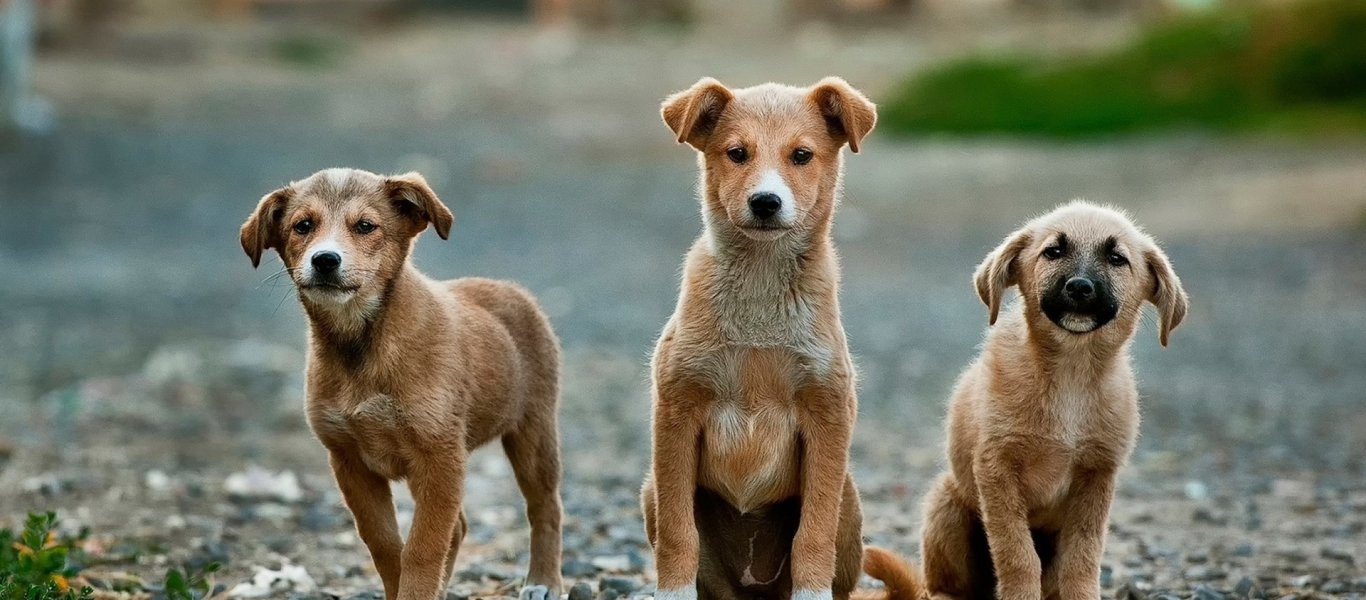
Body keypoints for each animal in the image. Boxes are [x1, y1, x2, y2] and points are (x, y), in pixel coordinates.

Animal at [239, 169, 560, 600]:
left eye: (365, 226)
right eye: (302, 226)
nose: (325, 260)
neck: (362, 346)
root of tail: (511, 288)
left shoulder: (440, 456)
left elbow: (423, 548)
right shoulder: (350, 461)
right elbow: (386, 544)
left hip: (533, 432)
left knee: (545, 508)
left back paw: (544, 581)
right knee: (459, 527)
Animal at [642, 77, 917, 600]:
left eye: (802, 155)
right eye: (737, 153)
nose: (765, 202)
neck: (760, 289)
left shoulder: (827, 413)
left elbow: (813, 533)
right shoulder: (676, 410)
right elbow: (678, 531)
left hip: (849, 499)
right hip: (651, 489)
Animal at [885, 200, 1185, 600]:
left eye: (1117, 258)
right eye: (1053, 251)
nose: (1080, 287)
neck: (1070, 373)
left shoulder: (1097, 475)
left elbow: (1083, 555)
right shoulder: (996, 469)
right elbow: (1016, 551)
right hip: (946, 503)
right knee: (944, 584)